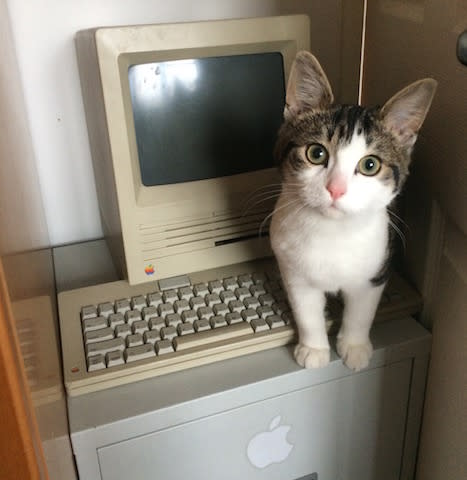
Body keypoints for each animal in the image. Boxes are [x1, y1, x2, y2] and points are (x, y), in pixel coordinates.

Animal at [268, 51, 436, 372]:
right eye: (316, 153)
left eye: (370, 165)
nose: (335, 189)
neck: (332, 231)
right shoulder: (293, 270)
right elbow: (306, 309)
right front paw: (313, 348)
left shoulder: (376, 269)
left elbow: (361, 311)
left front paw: (355, 347)